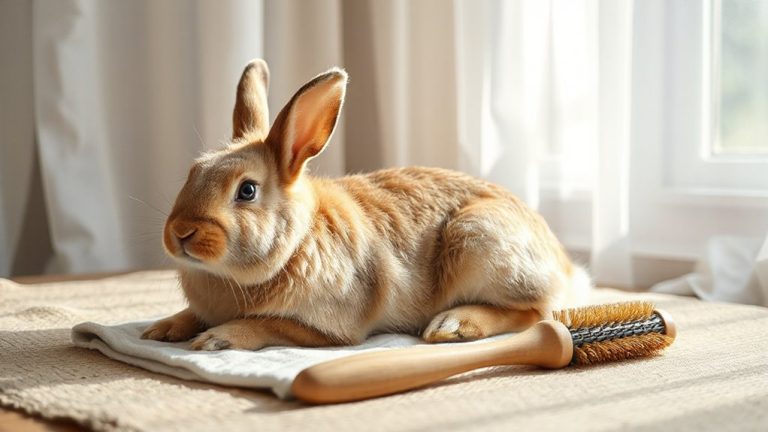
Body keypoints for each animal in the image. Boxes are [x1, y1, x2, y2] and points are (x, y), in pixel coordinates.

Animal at [141, 59, 591, 351]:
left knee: (538, 313)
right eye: (193, 172)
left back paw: (453, 326)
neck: (296, 243)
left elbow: (267, 324)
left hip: (480, 240)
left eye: (247, 191)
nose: (180, 232)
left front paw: (218, 338)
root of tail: (566, 267)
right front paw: (161, 330)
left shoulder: (329, 327)